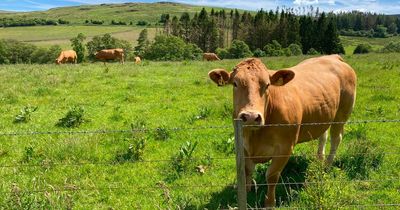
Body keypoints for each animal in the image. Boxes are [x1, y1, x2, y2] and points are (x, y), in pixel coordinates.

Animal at [208, 55, 358, 208]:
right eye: (235, 84)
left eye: (267, 85)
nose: (250, 117)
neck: (255, 136)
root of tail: (333, 56)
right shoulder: (242, 145)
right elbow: (247, 170)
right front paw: (247, 191)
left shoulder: (285, 148)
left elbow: (272, 175)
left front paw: (269, 203)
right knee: (323, 136)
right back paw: (319, 159)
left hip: (342, 114)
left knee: (336, 139)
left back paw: (327, 165)